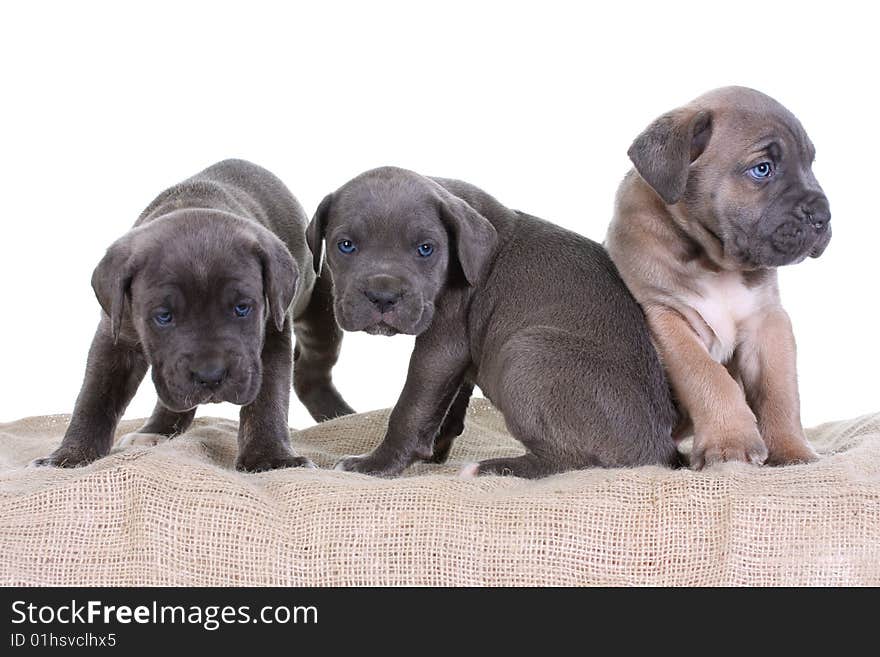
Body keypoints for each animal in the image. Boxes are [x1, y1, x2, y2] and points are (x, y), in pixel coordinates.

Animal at [35, 158, 350, 472]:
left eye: (242, 308)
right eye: (163, 316)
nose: (210, 376)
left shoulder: (272, 332)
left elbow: (268, 397)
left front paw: (270, 458)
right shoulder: (115, 335)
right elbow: (95, 396)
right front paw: (69, 456)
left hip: (324, 311)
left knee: (311, 372)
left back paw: (341, 415)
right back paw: (157, 430)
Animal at [306, 167, 676, 480]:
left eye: (426, 249)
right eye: (345, 245)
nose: (383, 295)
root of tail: (658, 453)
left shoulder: (441, 344)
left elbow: (410, 407)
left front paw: (375, 465)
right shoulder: (459, 357)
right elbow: (447, 403)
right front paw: (434, 447)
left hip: (526, 353)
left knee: (571, 462)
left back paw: (492, 469)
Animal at [604, 87, 832, 468]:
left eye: (810, 165)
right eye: (762, 169)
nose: (822, 215)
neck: (714, 261)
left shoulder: (767, 320)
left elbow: (779, 390)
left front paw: (792, 451)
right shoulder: (667, 317)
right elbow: (707, 376)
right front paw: (730, 443)